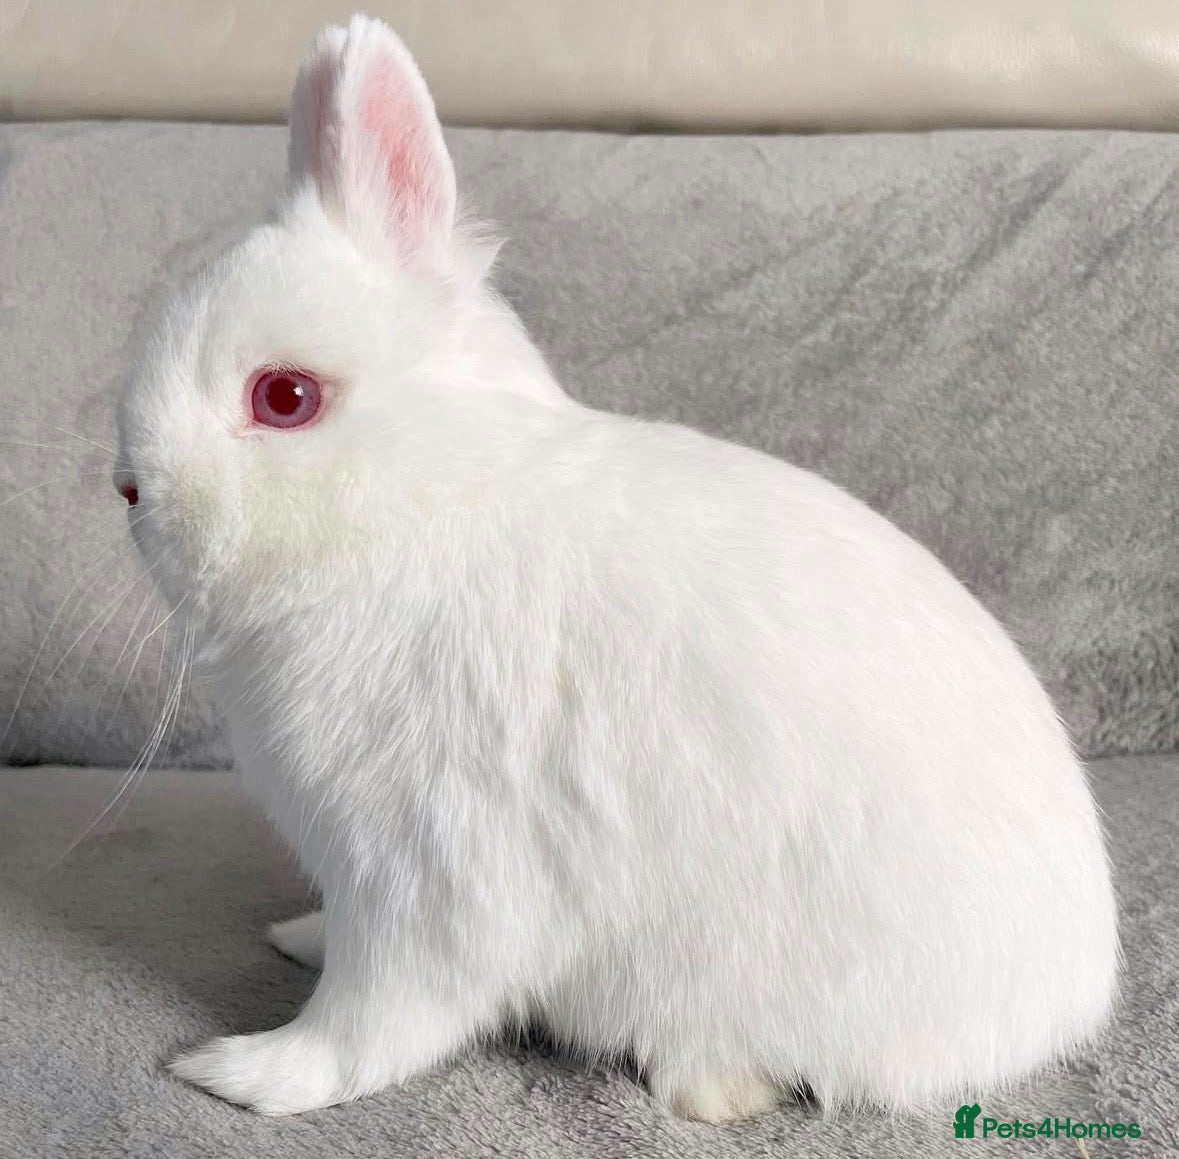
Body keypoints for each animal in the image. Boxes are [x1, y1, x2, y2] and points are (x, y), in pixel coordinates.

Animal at [115, 14, 1119, 1122]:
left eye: (285, 397)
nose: (130, 488)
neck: (429, 503)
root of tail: (1070, 994)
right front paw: (294, 939)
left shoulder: (428, 877)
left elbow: (371, 1021)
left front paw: (242, 1071)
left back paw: (707, 1083)